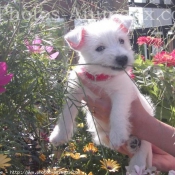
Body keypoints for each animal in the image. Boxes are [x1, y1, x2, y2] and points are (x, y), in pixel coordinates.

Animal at [49, 14, 153, 171]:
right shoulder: (74, 93)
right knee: (104, 139)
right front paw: (59, 135)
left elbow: (117, 113)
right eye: (100, 48)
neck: (100, 78)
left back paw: (136, 163)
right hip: (96, 128)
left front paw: (118, 134)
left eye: (121, 40)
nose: (122, 58)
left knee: (145, 145)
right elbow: (66, 113)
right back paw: (132, 143)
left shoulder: (121, 93)